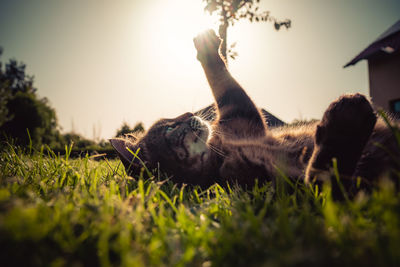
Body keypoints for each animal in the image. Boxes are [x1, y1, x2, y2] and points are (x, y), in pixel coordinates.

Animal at [111, 29, 400, 199]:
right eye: (170, 128)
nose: (188, 111)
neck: (221, 152)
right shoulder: (282, 186)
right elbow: (326, 179)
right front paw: (345, 125)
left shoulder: (238, 117)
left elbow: (223, 83)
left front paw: (206, 46)